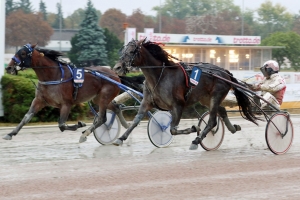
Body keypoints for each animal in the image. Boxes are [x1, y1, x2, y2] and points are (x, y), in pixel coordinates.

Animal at [113, 39, 258, 150]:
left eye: (132, 52)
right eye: (123, 52)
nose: (117, 67)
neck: (160, 76)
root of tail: (225, 72)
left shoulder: (178, 105)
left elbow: (173, 129)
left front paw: (194, 128)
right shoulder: (147, 102)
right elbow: (136, 121)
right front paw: (121, 138)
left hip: (216, 95)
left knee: (212, 121)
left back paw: (196, 141)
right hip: (205, 98)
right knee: (221, 110)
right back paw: (233, 128)